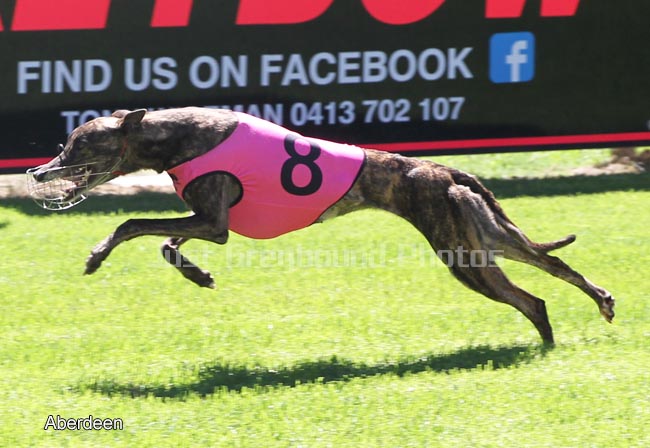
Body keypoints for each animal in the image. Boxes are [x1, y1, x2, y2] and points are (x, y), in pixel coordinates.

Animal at [28, 107, 615, 343]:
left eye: (76, 146)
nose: (38, 172)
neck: (177, 133)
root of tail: (446, 169)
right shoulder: (208, 220)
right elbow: (169, 244)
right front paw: (198, 274)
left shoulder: (214, 221)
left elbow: (135, 223)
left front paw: (96, 254)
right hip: (485, 239)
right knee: (546, 277)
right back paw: (572, 324)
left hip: (462, 252)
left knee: (539, 282)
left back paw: (573, 323)